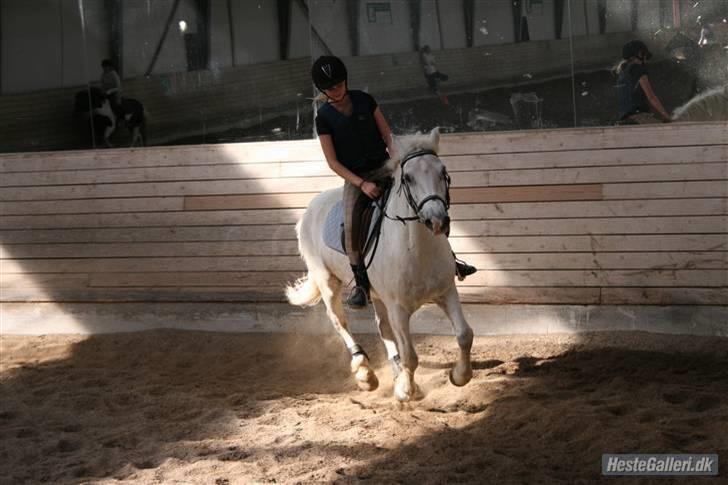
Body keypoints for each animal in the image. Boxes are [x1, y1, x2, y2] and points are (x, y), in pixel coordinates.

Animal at [288, 127, 474, 400]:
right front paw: (405, 391)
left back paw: (393, 372)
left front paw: (459, 376)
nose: (437, 221)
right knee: (339, 321)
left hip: (375, 293)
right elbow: (410, 356)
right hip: (327, 281)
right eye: (408, 178)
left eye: (443, 172)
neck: (416, 249)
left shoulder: (447, 292)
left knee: (382, 327)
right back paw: (365, 373)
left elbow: (464, 335)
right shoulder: (398, 307)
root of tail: (311, 207)